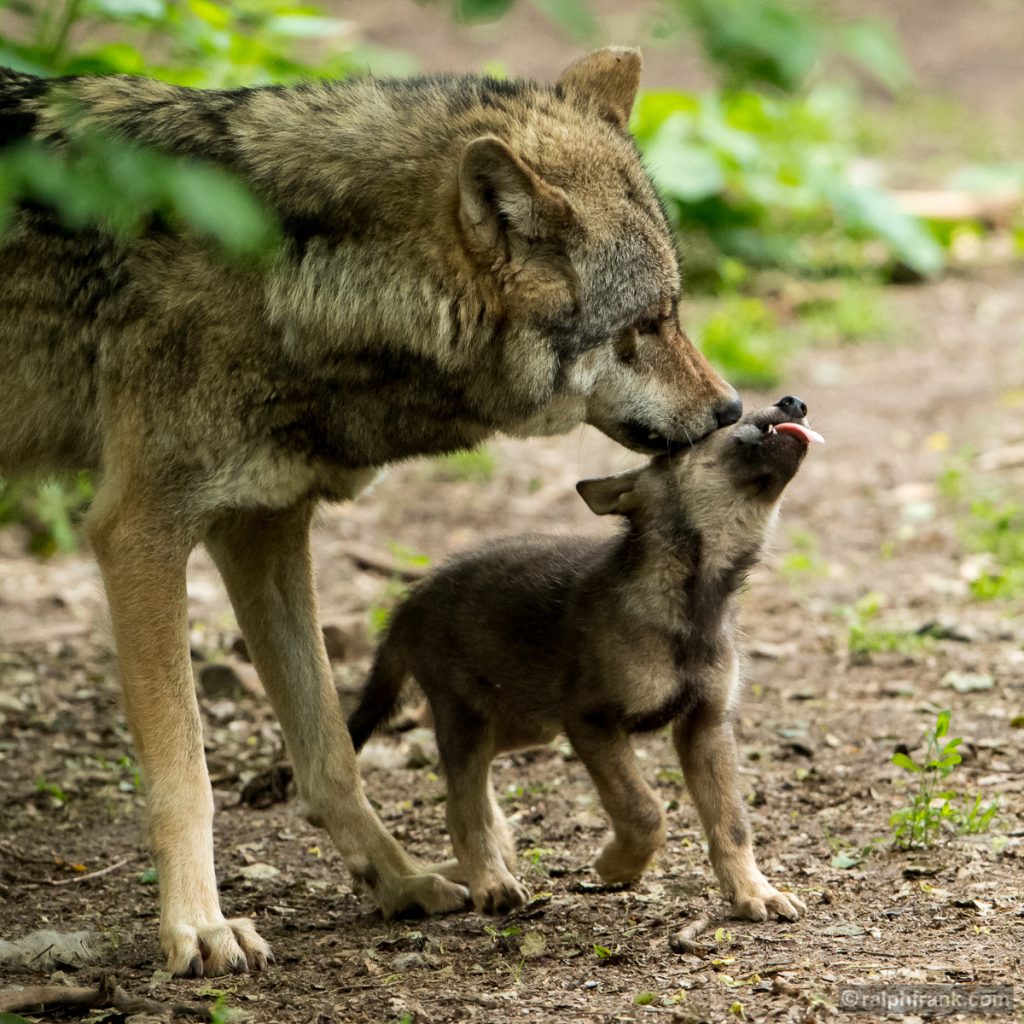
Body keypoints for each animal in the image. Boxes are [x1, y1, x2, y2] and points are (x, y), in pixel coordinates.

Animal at [0, 49, 741, 976]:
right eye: (647, 323)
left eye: (674, 312)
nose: (731, 409)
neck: (283, 269)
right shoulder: (140, 531)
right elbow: (186, 773)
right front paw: (198, 926)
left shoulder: (263, 524)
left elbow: (328, 745)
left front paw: (398, 879)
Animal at [349, 398, 820, 919]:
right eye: (720, 428)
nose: (794, 402)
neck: (694, 600)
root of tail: (407, 604)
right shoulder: (592, 721)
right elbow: (644, 810)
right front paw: (617, 864)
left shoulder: (706, 725)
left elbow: (732, 822)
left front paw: (752, 891)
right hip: (469, 715)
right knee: (460, 805)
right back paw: (491, 881)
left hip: (526, 721)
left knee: (469, 784)